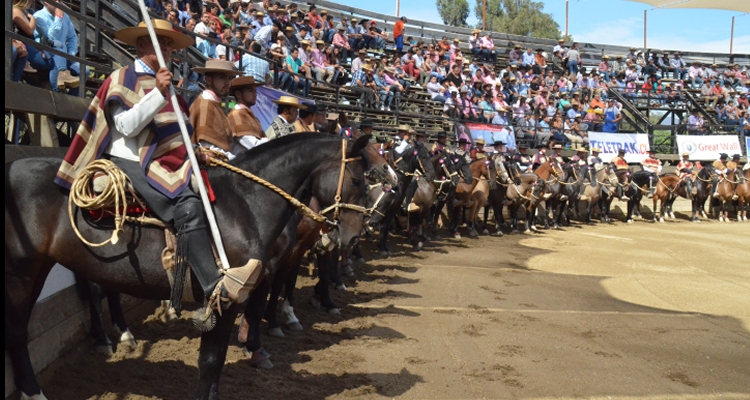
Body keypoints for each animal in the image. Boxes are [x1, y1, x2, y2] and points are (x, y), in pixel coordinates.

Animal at [3, 135, 374, 400]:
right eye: (358, 180)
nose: (355, 236)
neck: (244, 204)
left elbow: (218, 360)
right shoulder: (223, 300)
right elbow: (209, 362)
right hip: (21, 272)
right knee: (18, 330)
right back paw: (39, 389)